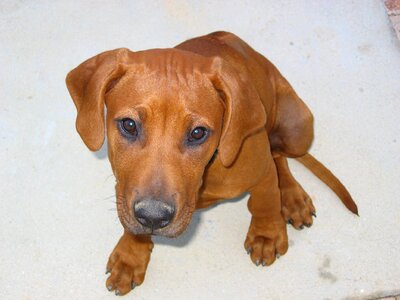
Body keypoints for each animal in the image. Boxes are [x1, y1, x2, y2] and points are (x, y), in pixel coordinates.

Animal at [66, 31, 360, 296]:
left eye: (198, 133)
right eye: (128, 125)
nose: (153, 217)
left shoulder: (260, 169)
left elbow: (265, 201)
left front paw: (266, 234)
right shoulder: (124, 188)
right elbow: (129, 219)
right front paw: (131, 255)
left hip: (298, 128)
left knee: (280, 157)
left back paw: (293, 197)